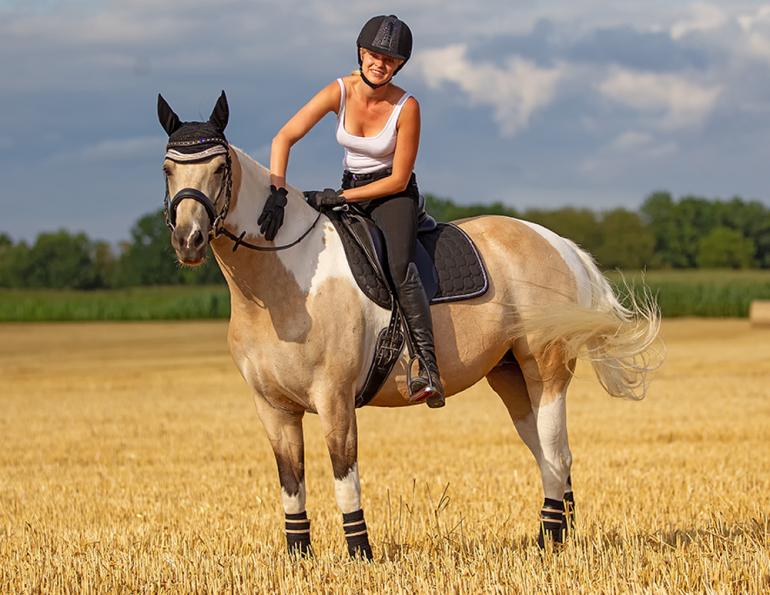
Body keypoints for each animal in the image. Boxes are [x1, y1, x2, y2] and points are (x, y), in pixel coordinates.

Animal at [157, 91, 661, 559]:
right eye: (167, 169)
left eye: (219, 168)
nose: (188, 241)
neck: (284, 282)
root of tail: (557, 242)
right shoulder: (273, 407)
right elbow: (291, 482)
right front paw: (299, 556)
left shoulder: (334, 398)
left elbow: (344, 476)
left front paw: (360, 554)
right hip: (510, 376)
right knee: (546, 454)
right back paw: (558, 533)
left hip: (546, 370)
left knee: (556, 452)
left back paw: (549, 541)